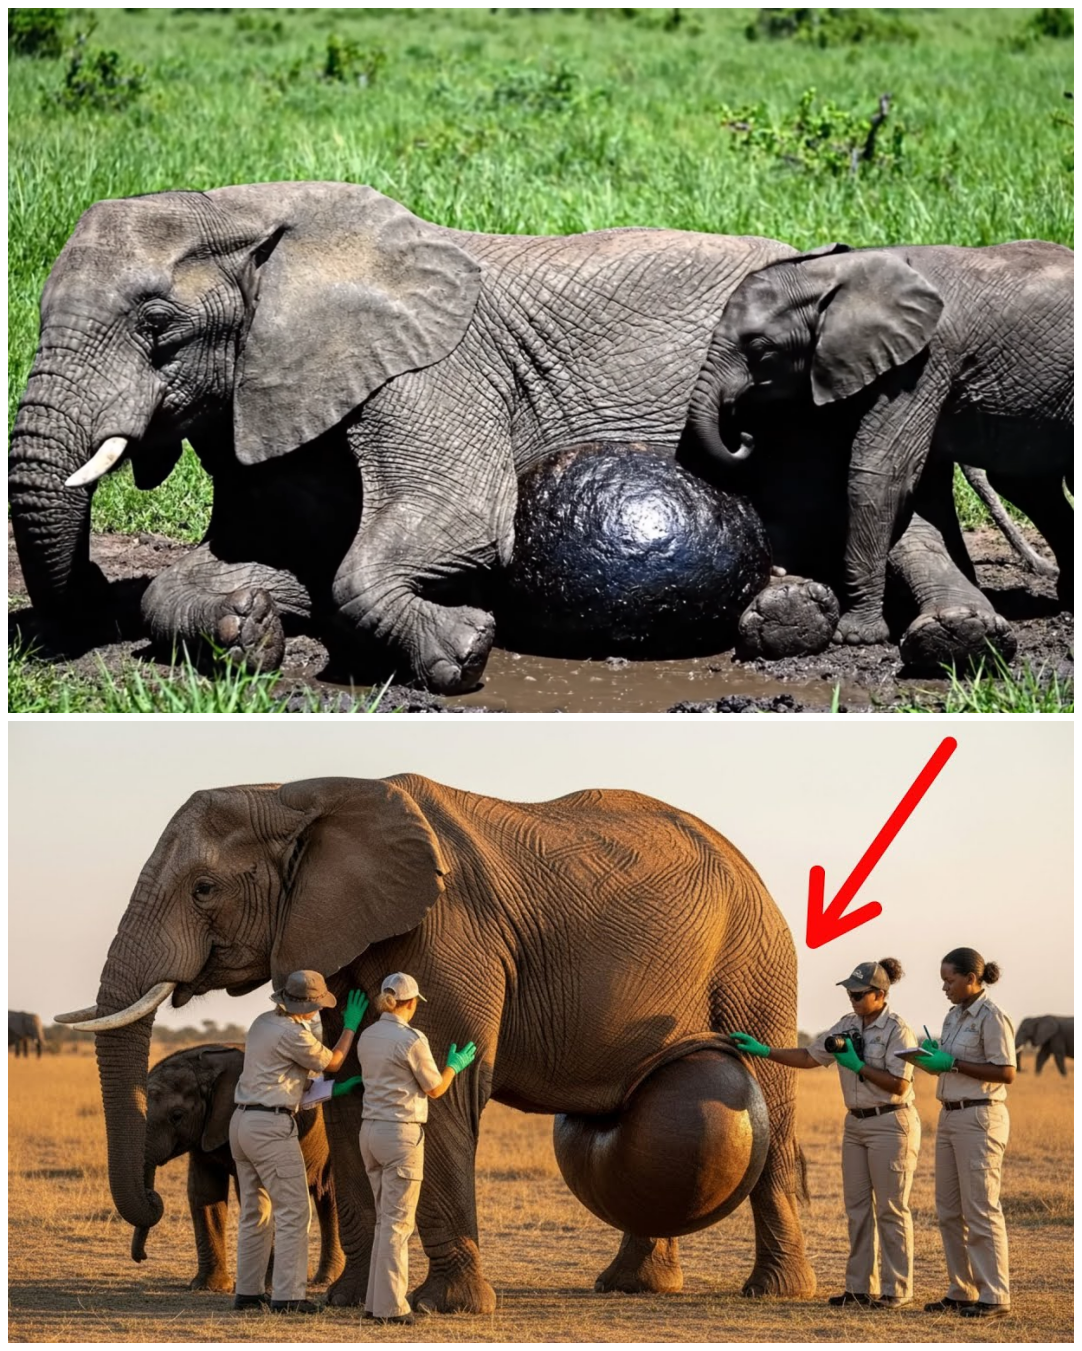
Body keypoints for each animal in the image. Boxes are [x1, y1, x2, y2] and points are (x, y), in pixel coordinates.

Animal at [9, 181, 810, 695]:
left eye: (157, 326)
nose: (92, 586)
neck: (247, 211)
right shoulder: (267, 395)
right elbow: (253, 555)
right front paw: (248, 627)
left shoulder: (433, 369)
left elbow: (459, 517)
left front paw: (466, 650)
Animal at [133, 1043, 343, 1291]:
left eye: (177, 1116)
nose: (142, 1257)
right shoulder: (205, 1132)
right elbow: (204, 1193)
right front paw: (208, 1287)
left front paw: (266, 1287)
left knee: (331, 1197)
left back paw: (325, 1279)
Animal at [683, 240, 1073, 656]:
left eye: (759, 347)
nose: (744, 436)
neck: (838, 271)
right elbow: (922, 486)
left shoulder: (924, 361)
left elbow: (880, 472)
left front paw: (855, 635)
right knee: (1027, 485)